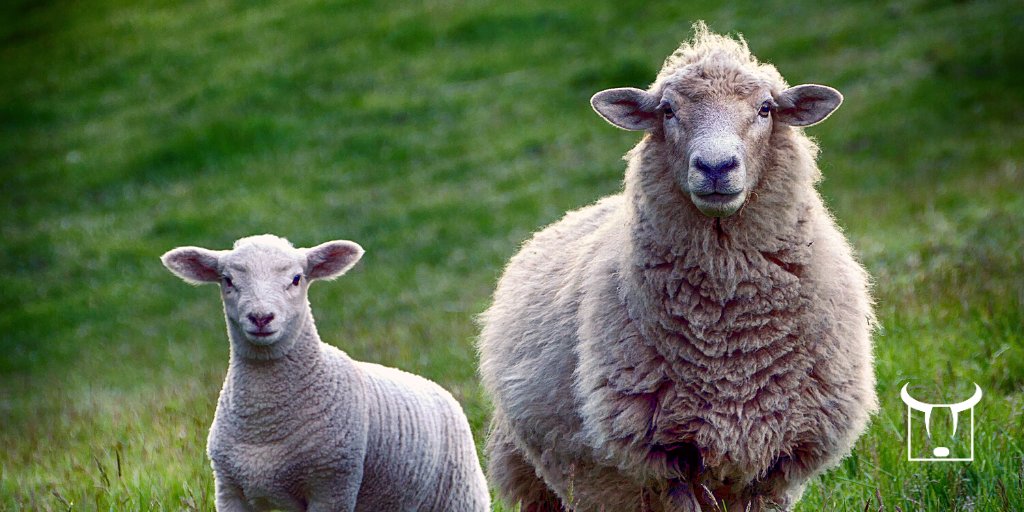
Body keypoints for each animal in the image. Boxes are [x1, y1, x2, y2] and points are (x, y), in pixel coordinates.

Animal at [161, 234, 490, 512]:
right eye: (227, 280)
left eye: (296, 279)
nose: (261, 317)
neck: (264, 422)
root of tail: (437, 388)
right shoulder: (229, 490)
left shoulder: (332, 485)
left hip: (460, 497)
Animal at [478, 23, 877, 512]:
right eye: (667, 110)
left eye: (765, 108)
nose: (716, 166)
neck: (730, 338)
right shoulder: (666, 463)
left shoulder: (778, 461)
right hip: (542, 477)